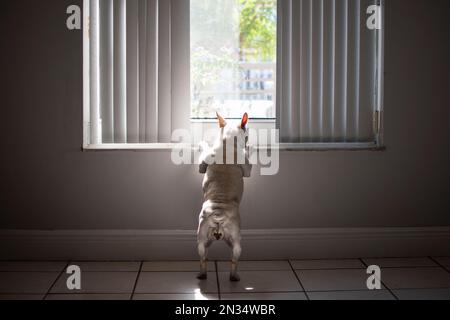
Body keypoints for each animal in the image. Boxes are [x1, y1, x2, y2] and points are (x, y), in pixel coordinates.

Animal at [198, 113, 253, 282]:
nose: (248, 140)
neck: (227, 143)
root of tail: (218, 214)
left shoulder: (202, 165)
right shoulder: (247, 169)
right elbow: (248, 164)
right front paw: (250, 148)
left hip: (201, 240)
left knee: (203, 258)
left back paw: (202, 275)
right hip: (237, 242)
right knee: (234, 261)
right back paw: (234, 277)